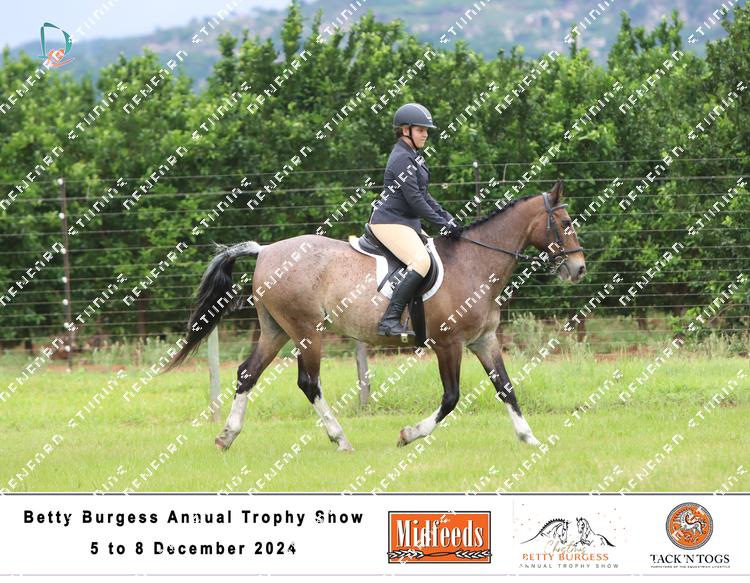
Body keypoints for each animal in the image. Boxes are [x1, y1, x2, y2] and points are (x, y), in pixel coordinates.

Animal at [166, 180, 586, 451]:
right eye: (565, 224)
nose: (578, 269)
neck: (474, 264)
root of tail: (265, 250)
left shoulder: (484, 342)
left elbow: (506, 388)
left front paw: (529, 438)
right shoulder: (448, 343)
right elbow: (451, 397)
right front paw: (409, 434)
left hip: (276, 330)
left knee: (247, 374)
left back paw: (227, 436)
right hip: (306, 330)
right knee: (308, 383)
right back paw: (340, 439)